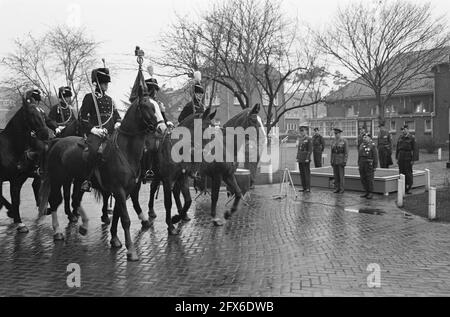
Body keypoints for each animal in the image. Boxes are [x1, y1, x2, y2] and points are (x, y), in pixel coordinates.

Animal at [0, 97, 49, 232]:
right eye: (31, 114)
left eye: (43, 113)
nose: (45, 133)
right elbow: (12, 199)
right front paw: (16, 218)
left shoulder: (17, 179)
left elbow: (16, 199)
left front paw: (17, 220)